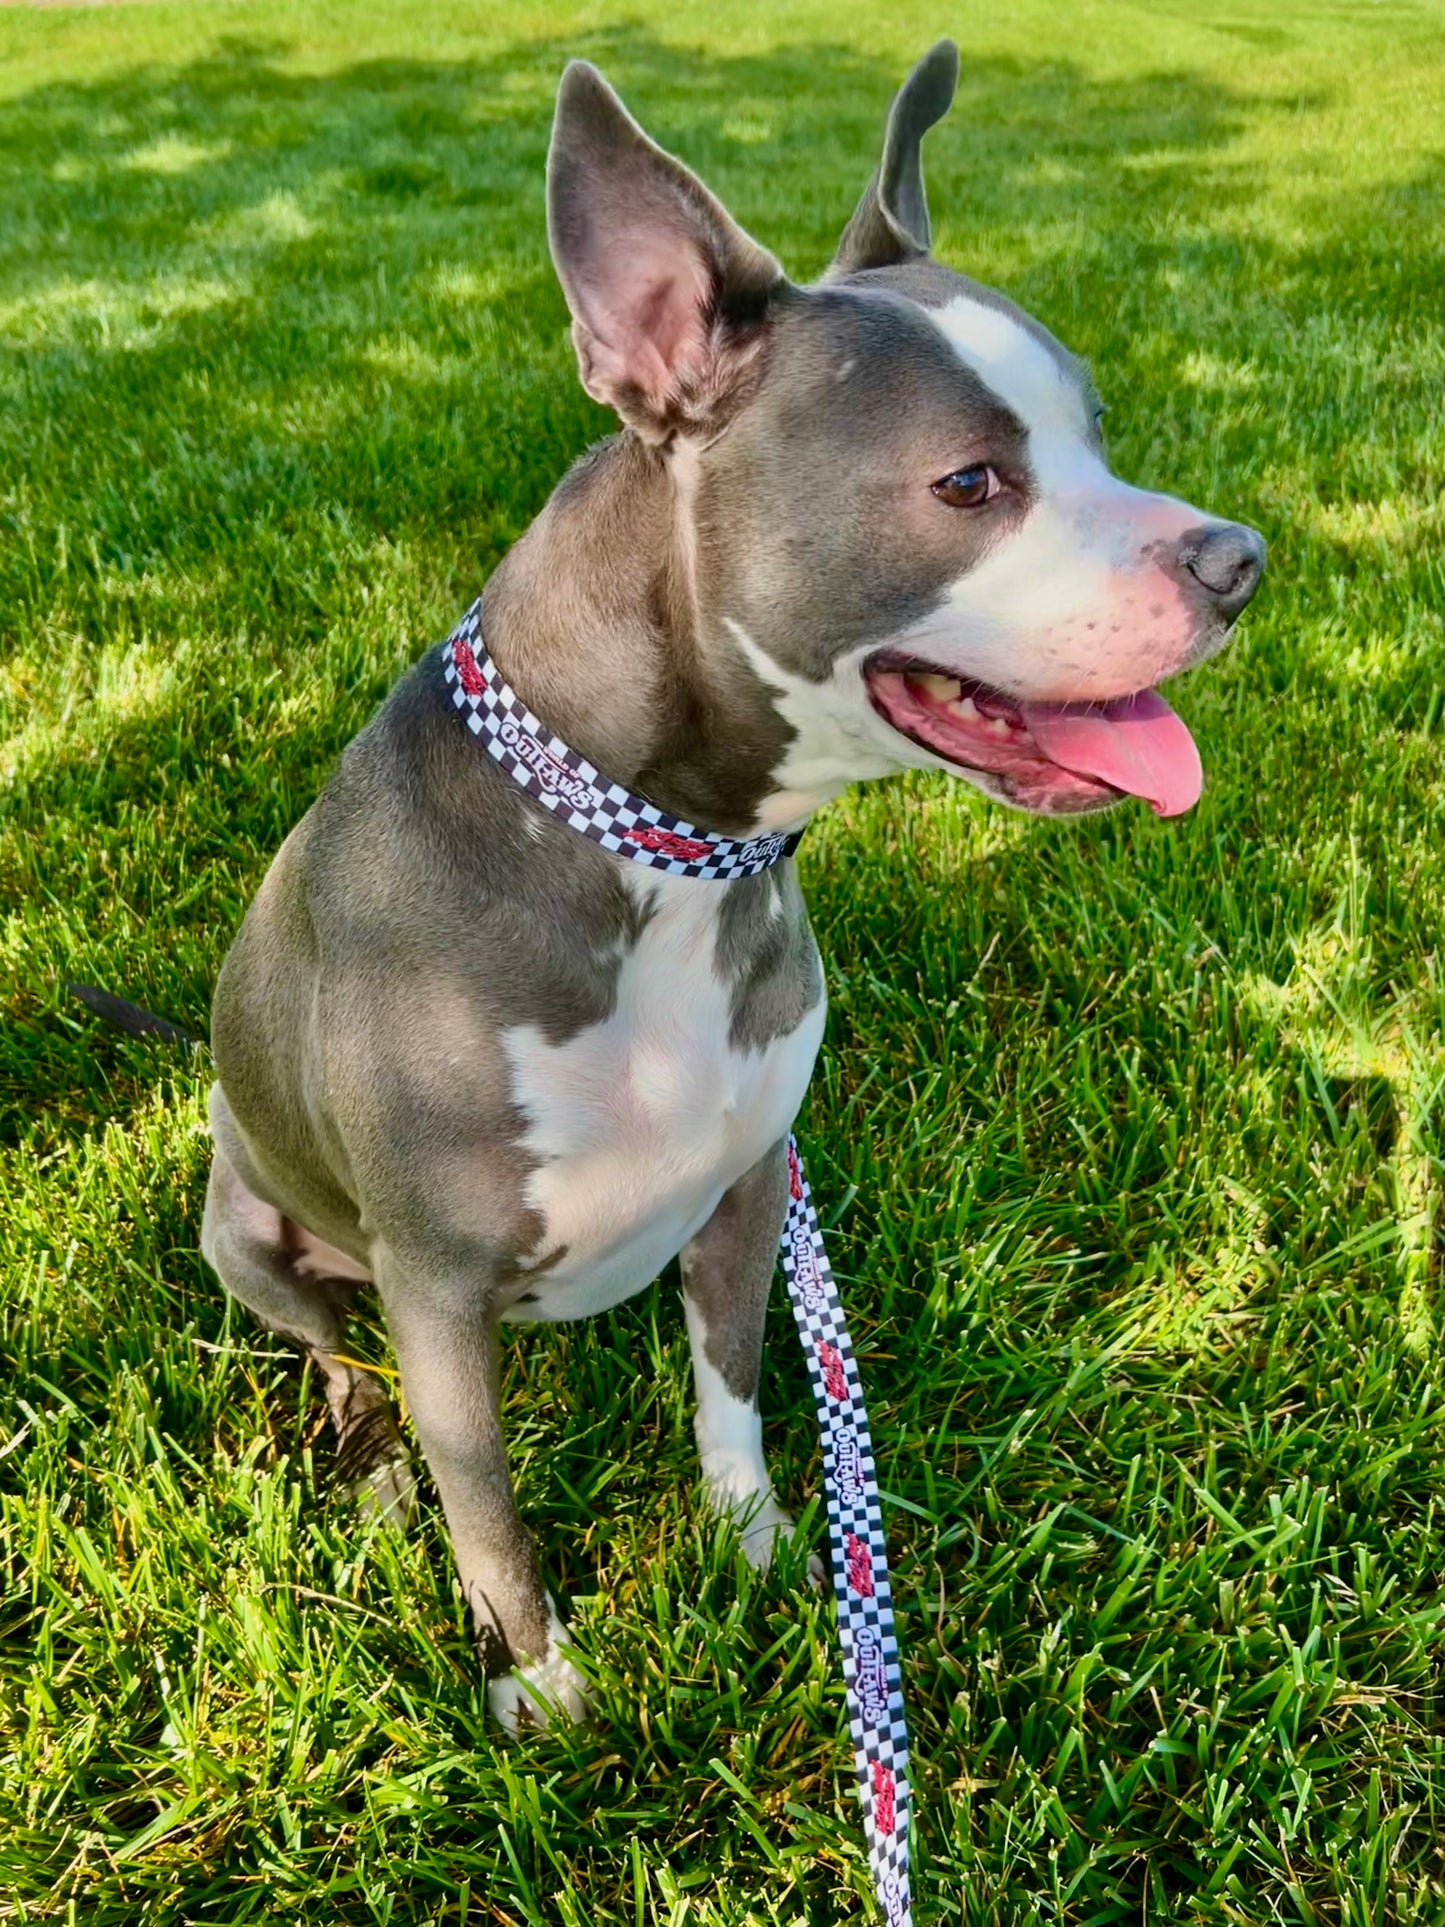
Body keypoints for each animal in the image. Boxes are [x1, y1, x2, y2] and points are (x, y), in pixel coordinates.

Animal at [201, 45, 1263, 1734]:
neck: (659, 855)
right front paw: (535, 1675)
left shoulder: (751, 1183)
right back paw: (369, 1476)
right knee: (338, 1364)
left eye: (1097, 431)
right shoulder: (434, 1287)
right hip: (242, 1223)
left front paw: (760, 1544)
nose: (1240, 561)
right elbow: (485, 1502)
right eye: (971, 481)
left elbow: (736, 1385)